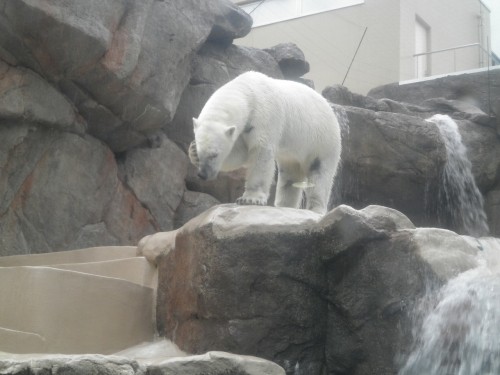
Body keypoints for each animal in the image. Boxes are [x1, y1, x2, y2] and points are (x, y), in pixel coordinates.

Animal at [189, 71, 342, 214]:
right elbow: (239, 154)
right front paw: (193, 152)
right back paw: (284, 205)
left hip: (322, 140)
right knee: (289, 174)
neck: (247, 91)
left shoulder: (264, 116)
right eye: (201, 153)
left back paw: (315, 209)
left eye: (214, 154)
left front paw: (250, 199)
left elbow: (260, 153)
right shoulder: (245, 129)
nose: (203, 174)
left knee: (320, 174)